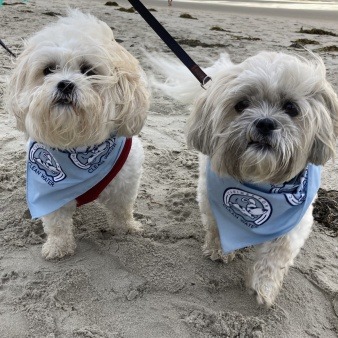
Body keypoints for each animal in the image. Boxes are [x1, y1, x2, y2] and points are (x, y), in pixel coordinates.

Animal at [5, 9, 149, 258]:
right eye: (49, 69)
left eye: (89, 70)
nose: (65, 84)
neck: (77, 141)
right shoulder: (49, 195)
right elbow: (57, 223)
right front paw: (58, 246)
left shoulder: (125, 183)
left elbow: (122, 209)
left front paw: (127, 230)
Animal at [150, 52, 338, 306]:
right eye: (241, 104)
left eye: (291, 107)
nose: (265, 123)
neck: (258, 180)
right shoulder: (209, 199)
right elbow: (216, 228)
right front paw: (219, 251)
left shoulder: (296, 221)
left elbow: (277, 255)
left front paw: (265, 286)